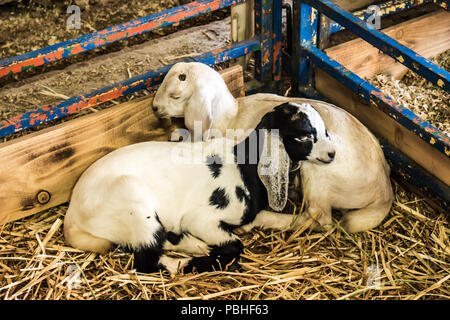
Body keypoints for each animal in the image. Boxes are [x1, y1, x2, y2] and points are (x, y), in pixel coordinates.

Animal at [65, 102, 336, 272]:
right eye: (303, 136)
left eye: (324, 129)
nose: (332, 153)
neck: (244, 166)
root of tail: (72, 215)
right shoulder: (202, 219)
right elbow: (236, 245)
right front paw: (211, 258)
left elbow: (274, 219)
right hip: (133, 203)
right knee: (146, 259)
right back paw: (187, 261)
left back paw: (192, 244)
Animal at [152, 62, 394, 232]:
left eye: (175, 95)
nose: (154, 108)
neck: (230, 116)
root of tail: (384, 190)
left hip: (319, 169)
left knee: (319, 217)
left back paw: (263, 219)